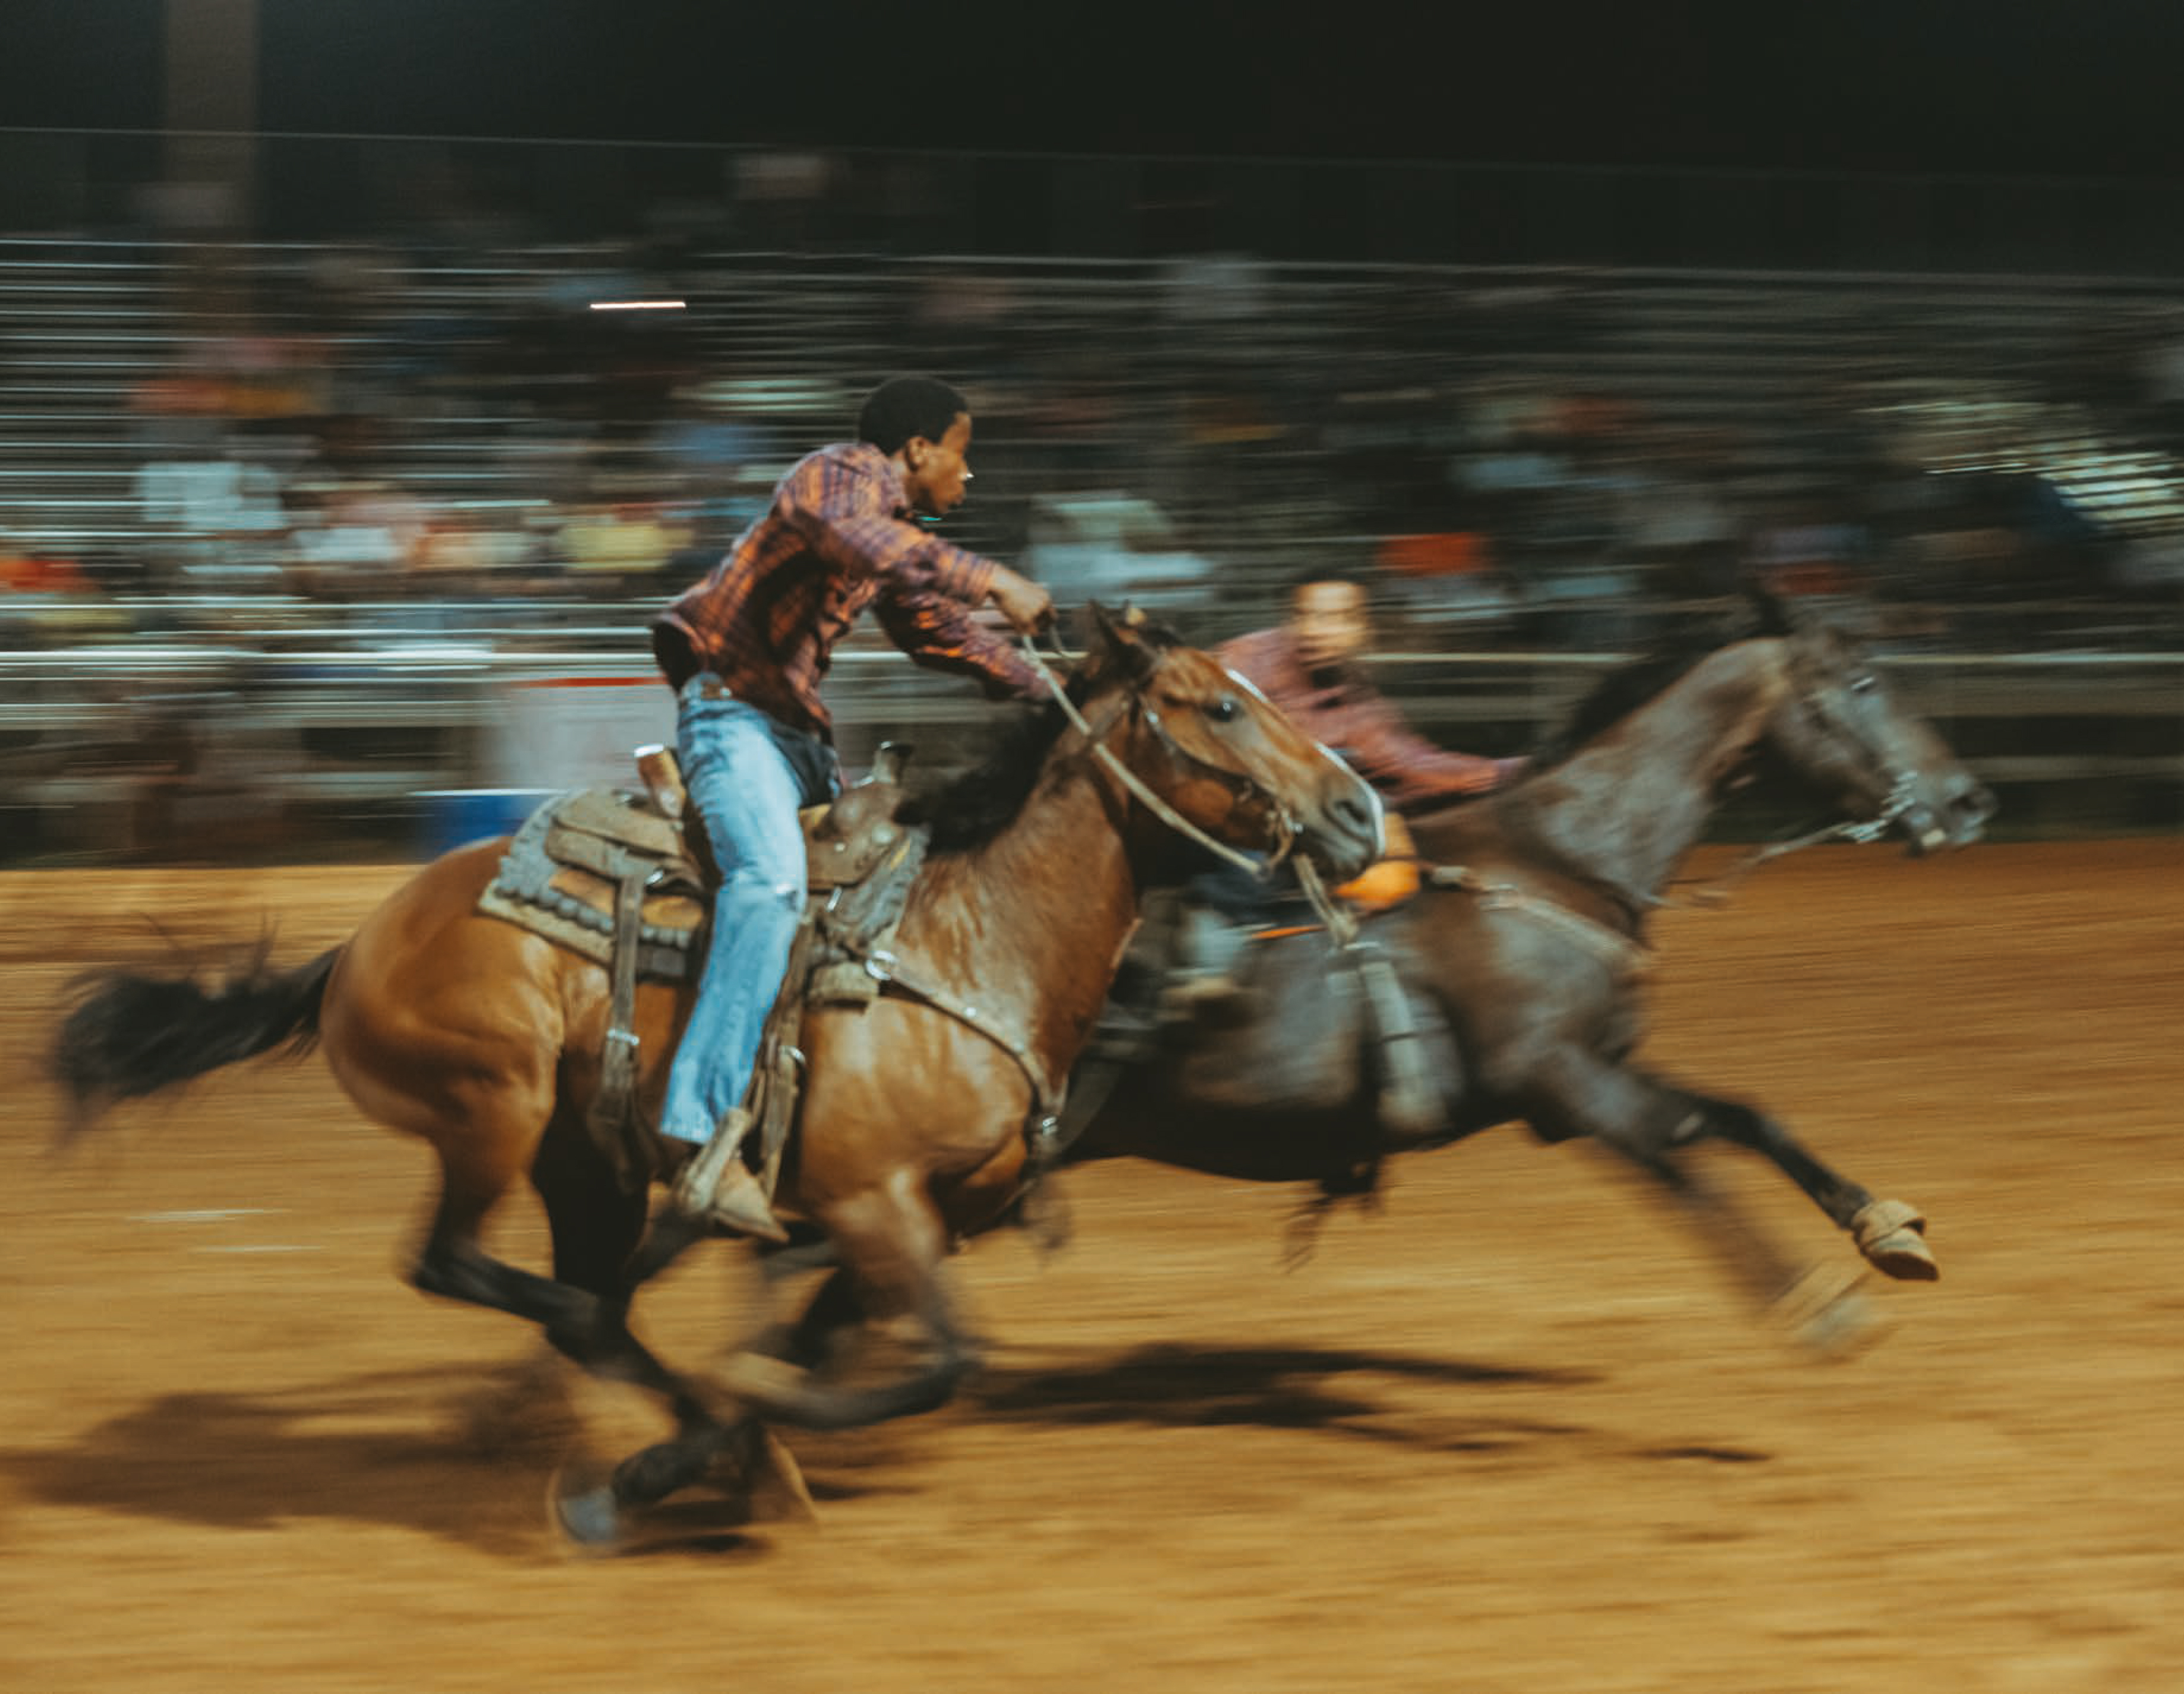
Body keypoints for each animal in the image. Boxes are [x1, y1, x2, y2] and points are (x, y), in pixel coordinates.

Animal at [47, 607, 1380, 1536]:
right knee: (477, 1270)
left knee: (587, 1297)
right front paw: (723, 1439)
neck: (970, 937)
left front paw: (704, 1454)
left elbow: (840, 1347)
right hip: (491, 1111)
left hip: (582, 1159)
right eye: (1217, 708)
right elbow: (935, 1363)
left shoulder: (925, 1217)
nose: (1360, 810)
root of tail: (358, 945)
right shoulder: (873, 1203)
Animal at [1057, 593, 2000, 1353]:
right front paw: (1818, 1303)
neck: (1561, 858)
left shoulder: (1592, 1069)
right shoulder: (1557, 1080)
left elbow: (1742, 1117)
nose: (1968, 803)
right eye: (1866, 683)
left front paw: (1884, 1228)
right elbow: (1676, 1169)